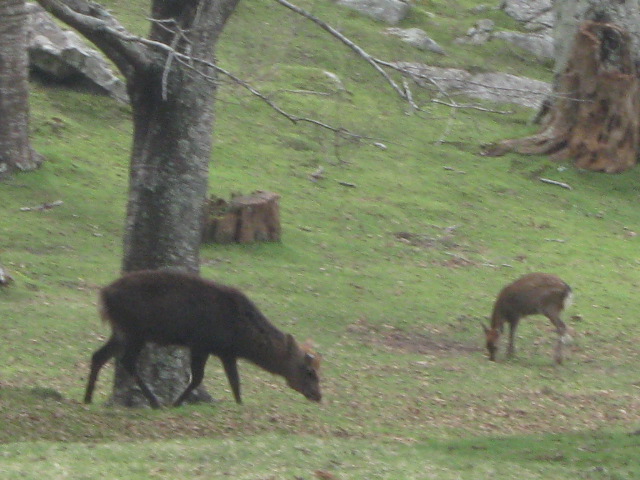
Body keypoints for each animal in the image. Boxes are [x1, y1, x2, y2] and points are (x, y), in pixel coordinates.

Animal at [83, 270, 322, 408]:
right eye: (309, 371)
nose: (318, 395)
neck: (241, 336)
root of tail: (103, 295)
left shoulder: (226, 352)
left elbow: (235, 381)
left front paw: (239, 404)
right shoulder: (201, 343)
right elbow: (198, 378)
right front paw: (177, 403)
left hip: (121, 331)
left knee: (98, 356)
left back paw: (87, 398)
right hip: (135, 331)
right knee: (127, 361)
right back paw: (156, 402)